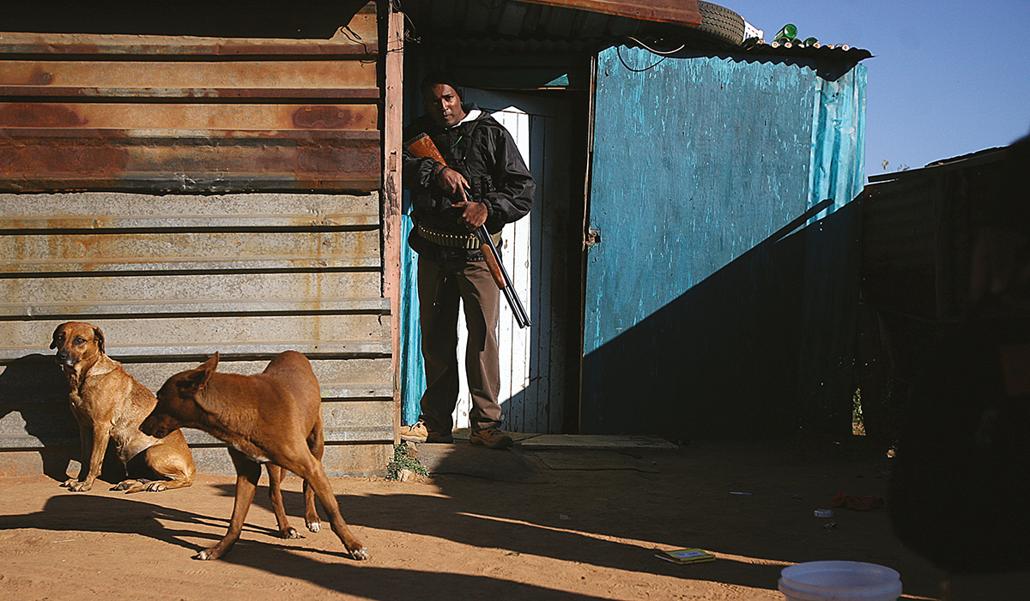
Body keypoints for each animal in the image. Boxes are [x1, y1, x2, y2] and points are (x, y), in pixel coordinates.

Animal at [49, 321, 195, 496]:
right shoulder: (83, 427)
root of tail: (193, 468)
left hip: (152, 453)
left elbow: (94, 459)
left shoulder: (101, 426)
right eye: (60, 337)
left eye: (79, 340)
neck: (85, 375)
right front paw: (78, 480)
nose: (61, 356)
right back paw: (131, 483)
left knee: (183, 480)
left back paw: (159, 484)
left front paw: (86, 484)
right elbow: (85, 457)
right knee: (145, 479)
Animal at [141, 350, 370, 560]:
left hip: (316, 443)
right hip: (276, 465)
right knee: (274, 492)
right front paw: (218, 550)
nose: (141, 427)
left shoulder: (310, 466)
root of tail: (293, 352)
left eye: (160, 397)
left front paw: (354, 546)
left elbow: (333, 512)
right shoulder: (247, 473)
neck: (240, 411)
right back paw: (285, 528)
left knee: (307, 485)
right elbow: (235, 520)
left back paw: (311, 518)